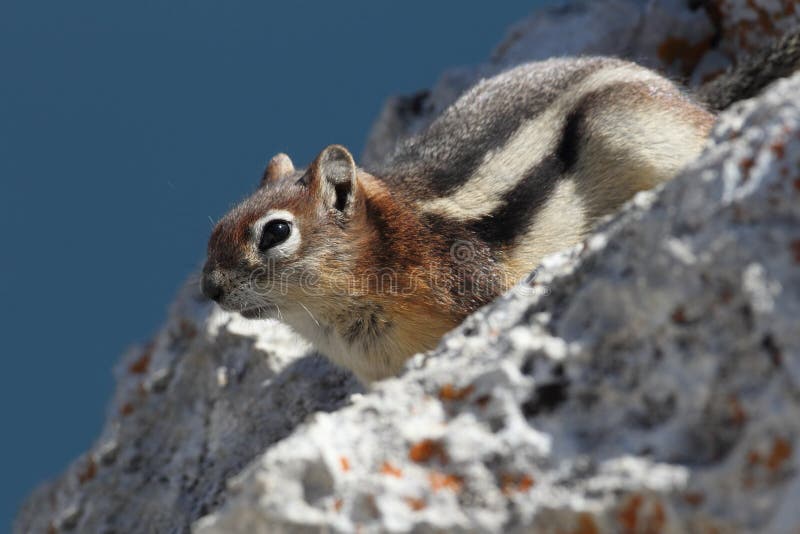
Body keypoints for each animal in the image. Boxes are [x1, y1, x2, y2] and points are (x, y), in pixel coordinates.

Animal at [202, 38, 800, 382]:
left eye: (275, 232)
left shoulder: (478, 283)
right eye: (215, 232)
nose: (210, 289)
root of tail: (690, 101)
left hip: (633, 132)